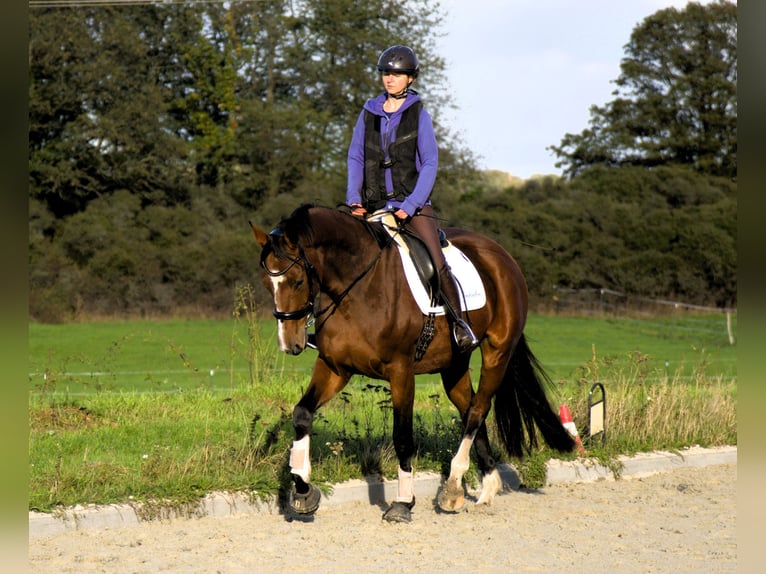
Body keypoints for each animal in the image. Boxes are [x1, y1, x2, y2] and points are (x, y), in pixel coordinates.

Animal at [252, 205, 576, 524]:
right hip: (453, 365)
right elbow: (302, 414)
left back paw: (454, 487)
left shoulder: (401, 372)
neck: (359, 287)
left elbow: (403, 438)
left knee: (478, 410)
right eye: (266, 283)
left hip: (497, 351)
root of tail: (501, 254)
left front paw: (403, 503)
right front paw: (303, 491)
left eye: (297, 281)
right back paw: (483, 486)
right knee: (470, 407)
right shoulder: (335, 368)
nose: (290, 344)